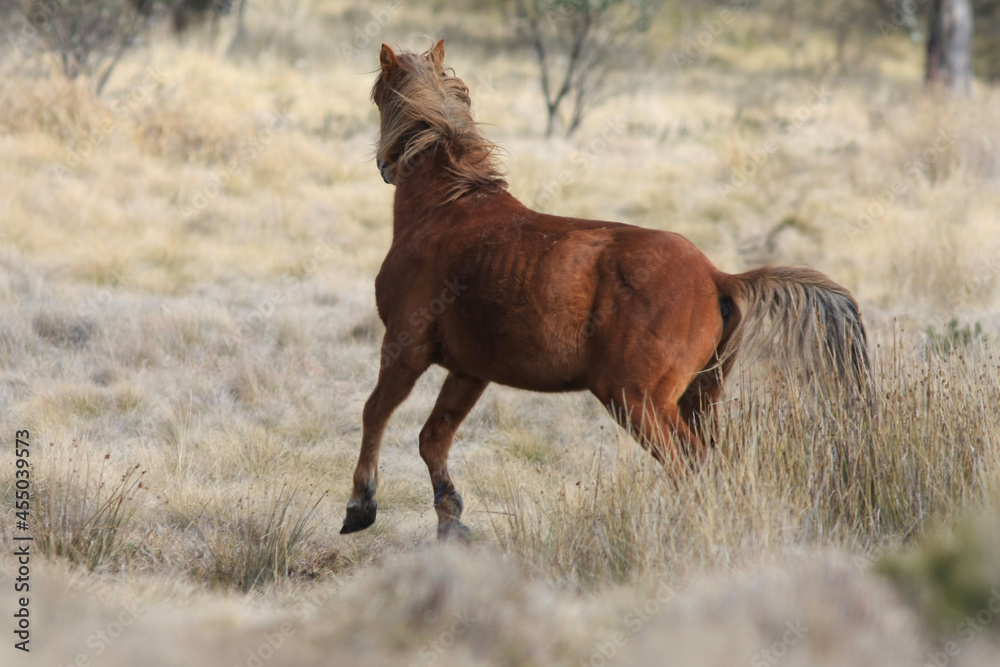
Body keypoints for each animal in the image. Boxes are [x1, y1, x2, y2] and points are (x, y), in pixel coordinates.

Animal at [340, 40, 871, 540]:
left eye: (376, 95)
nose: (383, 165)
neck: (448, 209)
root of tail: (718, 277)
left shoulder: (406, 347)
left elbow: (374, 413)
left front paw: (360, 507)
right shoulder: (470, 371)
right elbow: (433, 438)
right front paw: (451, 522)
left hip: (638, 403)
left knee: (693, 469)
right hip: (697, 401)